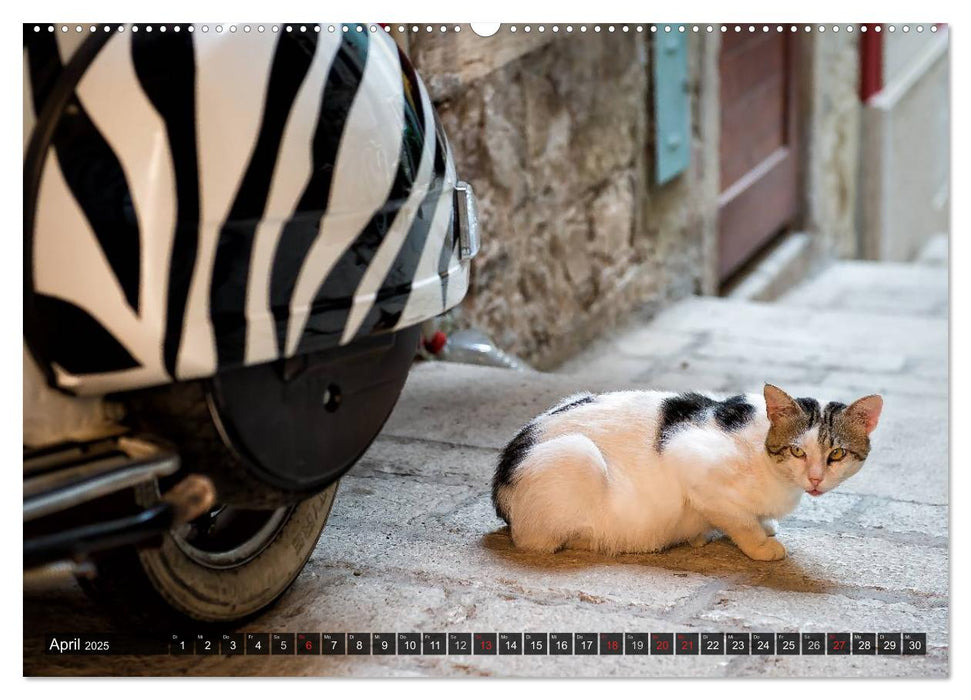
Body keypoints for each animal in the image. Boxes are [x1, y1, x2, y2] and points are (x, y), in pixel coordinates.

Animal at [494, 386, 880, 560]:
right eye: (797, 451)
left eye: (837, 454)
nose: (815, 479)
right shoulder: (691, 461)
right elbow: (739, 521)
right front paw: (761, 545)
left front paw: (764, 525)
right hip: (577, 453)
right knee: (535, 540)